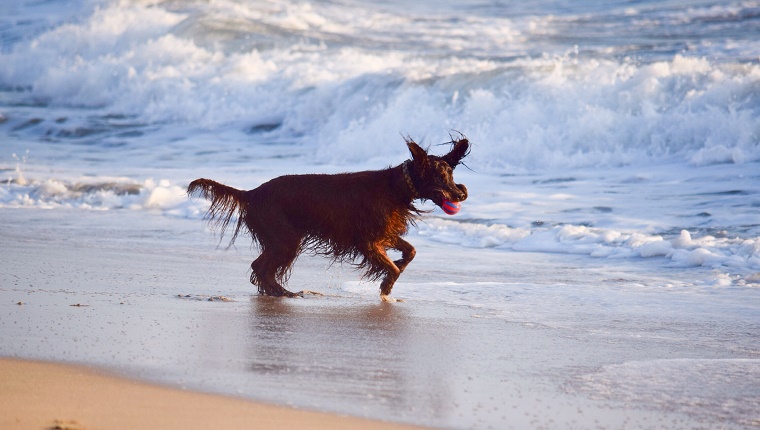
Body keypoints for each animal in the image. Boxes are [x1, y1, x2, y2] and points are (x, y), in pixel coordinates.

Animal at [187, 136, 470, 300]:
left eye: (451, 175)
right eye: (439, 177)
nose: (460, 194)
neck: (394, 187)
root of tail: (252, 193)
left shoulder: (384, 233)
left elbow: (410, 251)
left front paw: (397, 267)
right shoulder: (367, 241)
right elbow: (390, 266)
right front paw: (386, 287)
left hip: (284, 240)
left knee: (261, 267)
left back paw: (280, 291)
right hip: (286, 239)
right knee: (261, 267)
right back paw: (282, 293)